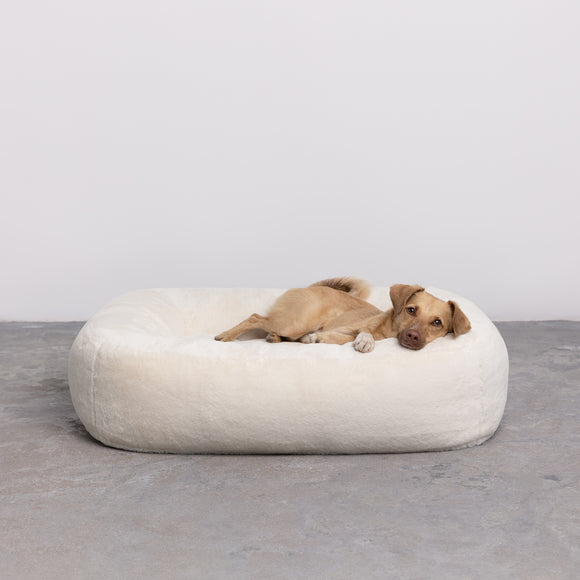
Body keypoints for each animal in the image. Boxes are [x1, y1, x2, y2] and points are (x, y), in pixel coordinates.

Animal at [214, 277, 471, 353]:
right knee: (255, 317)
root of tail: (310, 287)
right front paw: (365, 340)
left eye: (437, 322)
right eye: (411, 310)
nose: (413, 336)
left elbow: (340, 339)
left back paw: (274, 338)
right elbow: (358, 333)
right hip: (296, 322)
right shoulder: (349, 328)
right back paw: (225, 336)